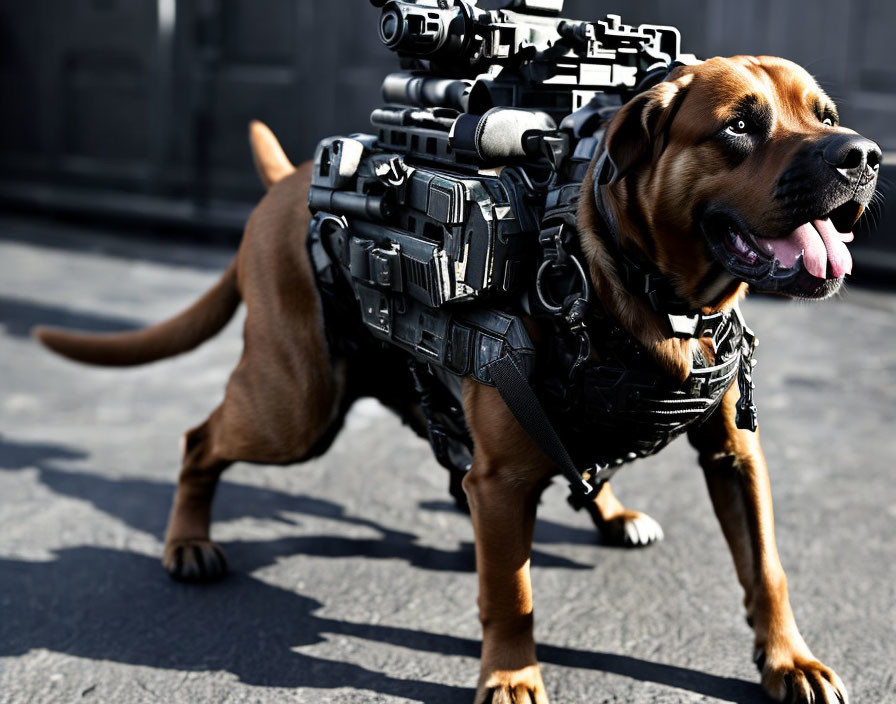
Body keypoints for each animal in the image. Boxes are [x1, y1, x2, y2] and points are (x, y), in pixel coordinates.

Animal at [35, 56, 876, 704]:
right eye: (740, 125)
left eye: (825, 114)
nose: (864, 156)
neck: (645, 292)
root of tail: (287, 184)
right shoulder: (501, 484)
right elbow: (512, 593)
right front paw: (511, 675)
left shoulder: (736, 456)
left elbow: (767, 569)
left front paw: (788, 661)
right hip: (294, 408)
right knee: (200, 438)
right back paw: (188, 541)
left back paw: (608, 509)